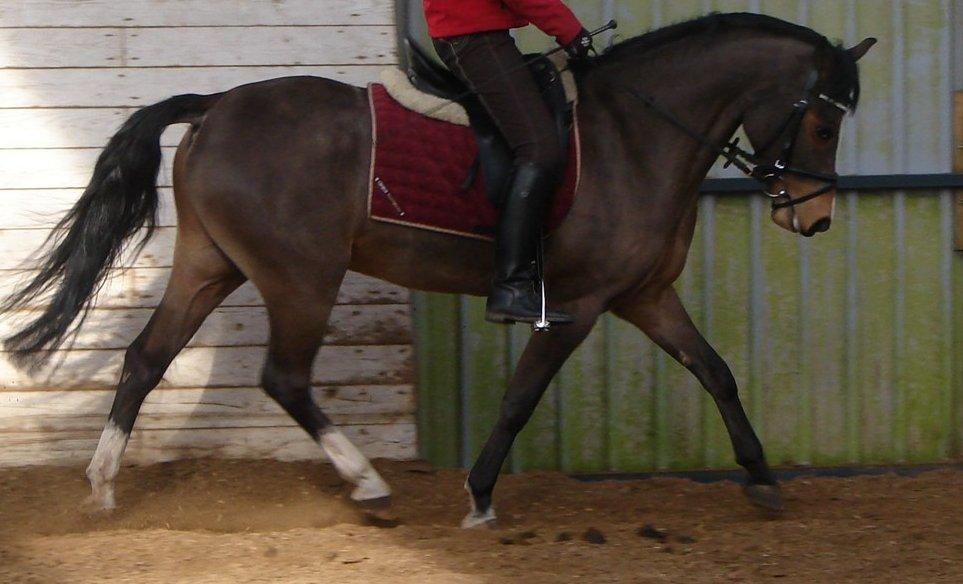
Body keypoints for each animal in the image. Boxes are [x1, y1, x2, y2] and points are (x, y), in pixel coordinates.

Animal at [1, 13, 874, 527]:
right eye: (823, 123)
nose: (812, 218)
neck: (636, 134)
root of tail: (216, 105)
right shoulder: (579, 303)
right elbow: (521, 398)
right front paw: (479, 493)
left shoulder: (644, 296)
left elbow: (716, 371)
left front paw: (761, 478)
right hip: (300, 278)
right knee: (283, 377)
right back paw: (368, 485)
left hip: (211, 264)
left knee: (147, 358)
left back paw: (102, 486)